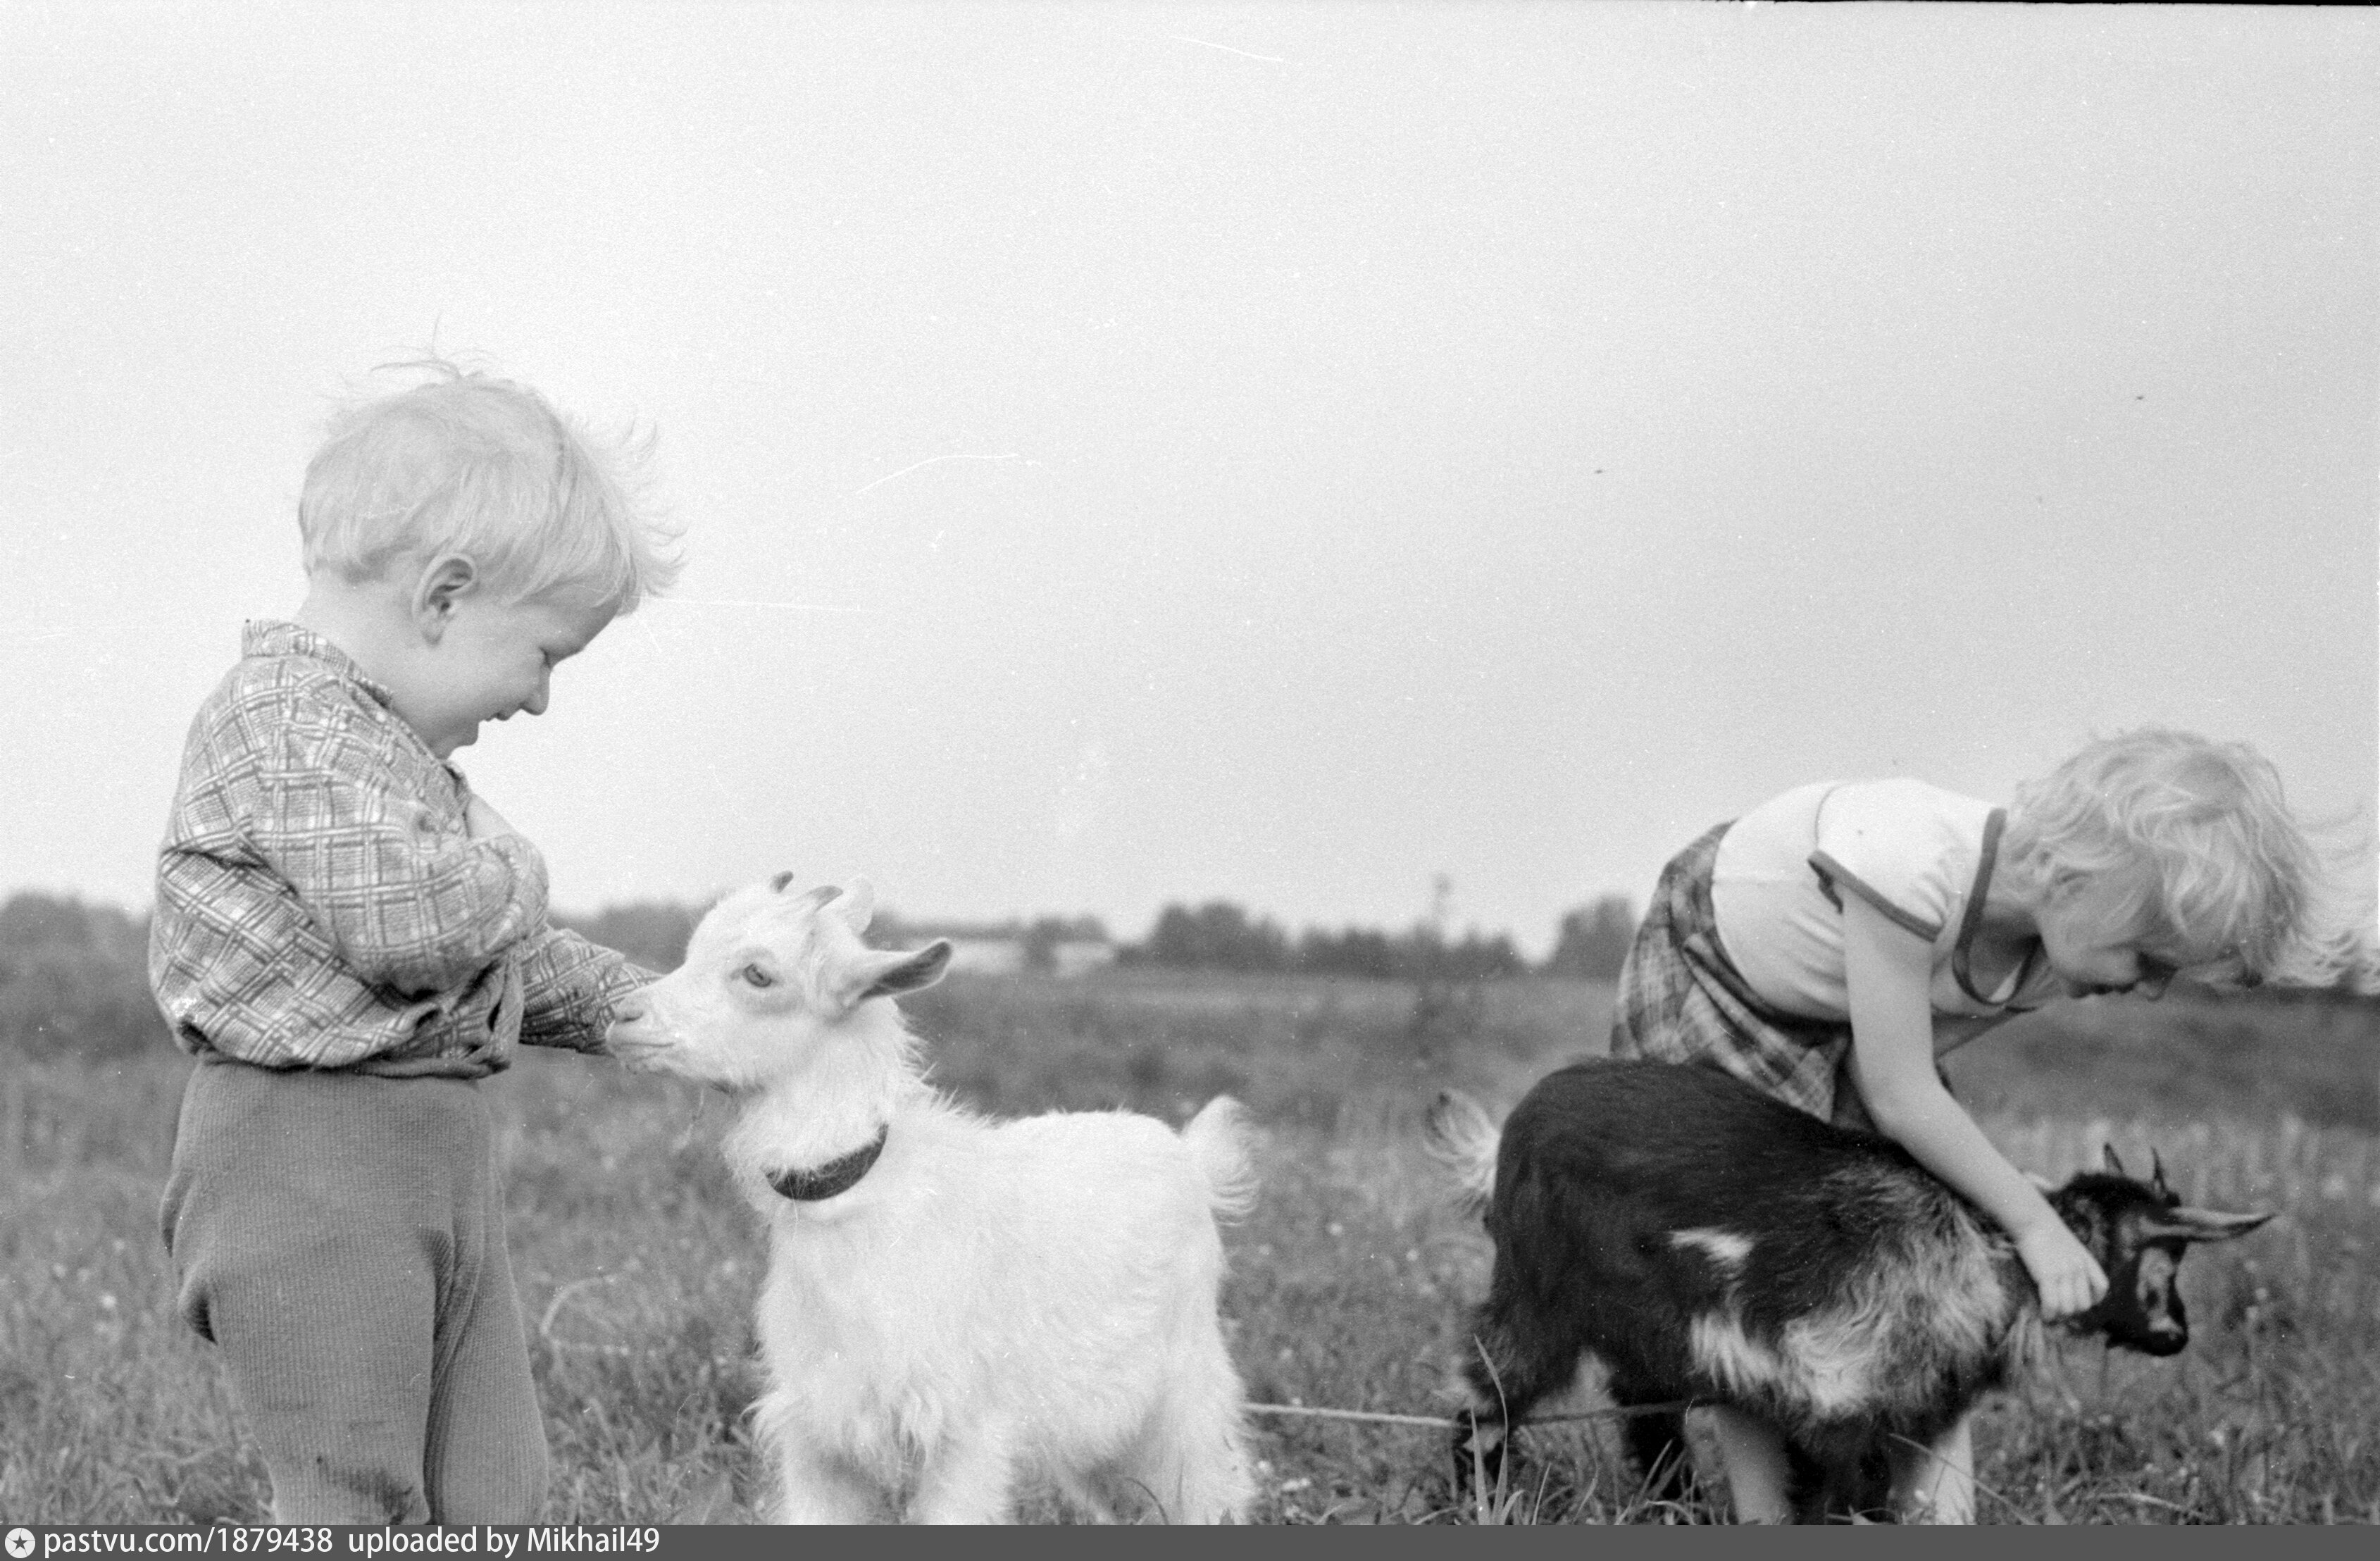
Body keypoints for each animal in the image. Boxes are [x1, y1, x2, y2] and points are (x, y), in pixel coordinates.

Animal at [1428, 1061, 2265, 1522]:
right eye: (2169, 1257)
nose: (2178, 1334)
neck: (1989, 1246)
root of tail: (1499, 1140)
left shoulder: (1912, 1404)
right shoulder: (1834, 1390)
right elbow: (1833, 1495)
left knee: (1643, 1416)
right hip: (1535, 1294)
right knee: (1484, 1401)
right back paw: (1476, 1505)